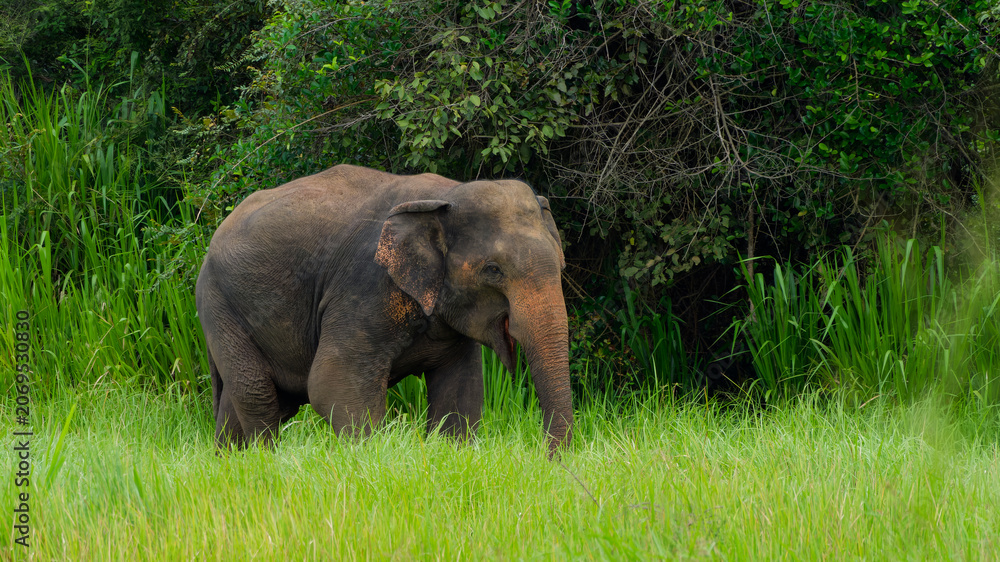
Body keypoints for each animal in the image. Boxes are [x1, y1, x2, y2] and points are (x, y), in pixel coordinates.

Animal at [195, 164, 573, 455]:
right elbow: (332, 381)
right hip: (218, 306)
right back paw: (265, 460)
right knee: (257, 393)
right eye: (493, 270)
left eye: (560, 264)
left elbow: (460, 389)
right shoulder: (364, 286)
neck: (447, 194)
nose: (550, 462)